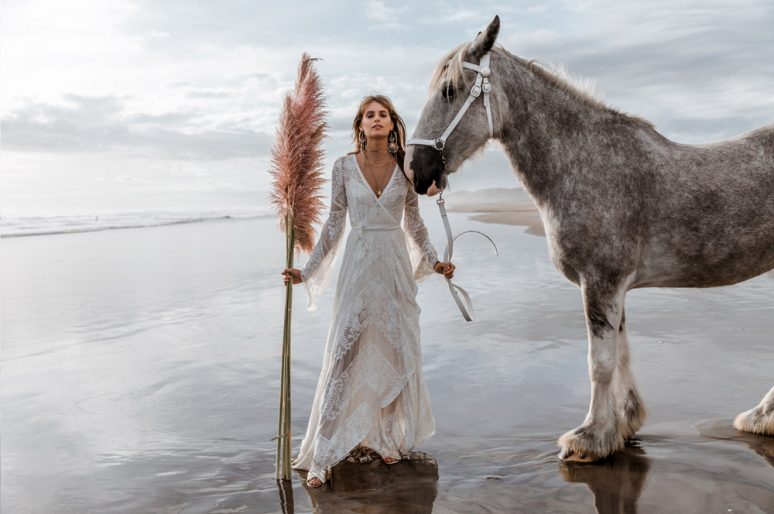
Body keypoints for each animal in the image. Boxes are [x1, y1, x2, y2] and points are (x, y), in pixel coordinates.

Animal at [404, 15, 774, 460]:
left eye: (450, 90)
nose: (415, 169)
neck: (585, 162)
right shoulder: (613, 288)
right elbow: (621, 354)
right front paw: (623, 425)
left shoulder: (600, 283)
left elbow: (599, 362)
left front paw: (589, 438)